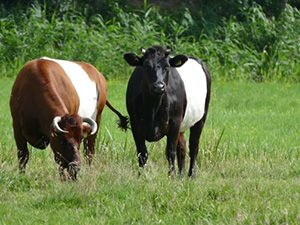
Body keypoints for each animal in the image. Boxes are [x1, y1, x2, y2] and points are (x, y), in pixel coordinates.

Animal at [123, 45, 211, 177]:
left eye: (167, 67)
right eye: (146, 66)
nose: (159, 86)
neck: (152, 108)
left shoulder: (174, 122)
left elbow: (170, 152)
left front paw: (171, 176)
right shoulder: (135, 122)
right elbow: (142, 153)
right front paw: (141, 176)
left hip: (201, 118)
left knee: (194, 147)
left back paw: (191, 175)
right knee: (182, 147)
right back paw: (181, 175)